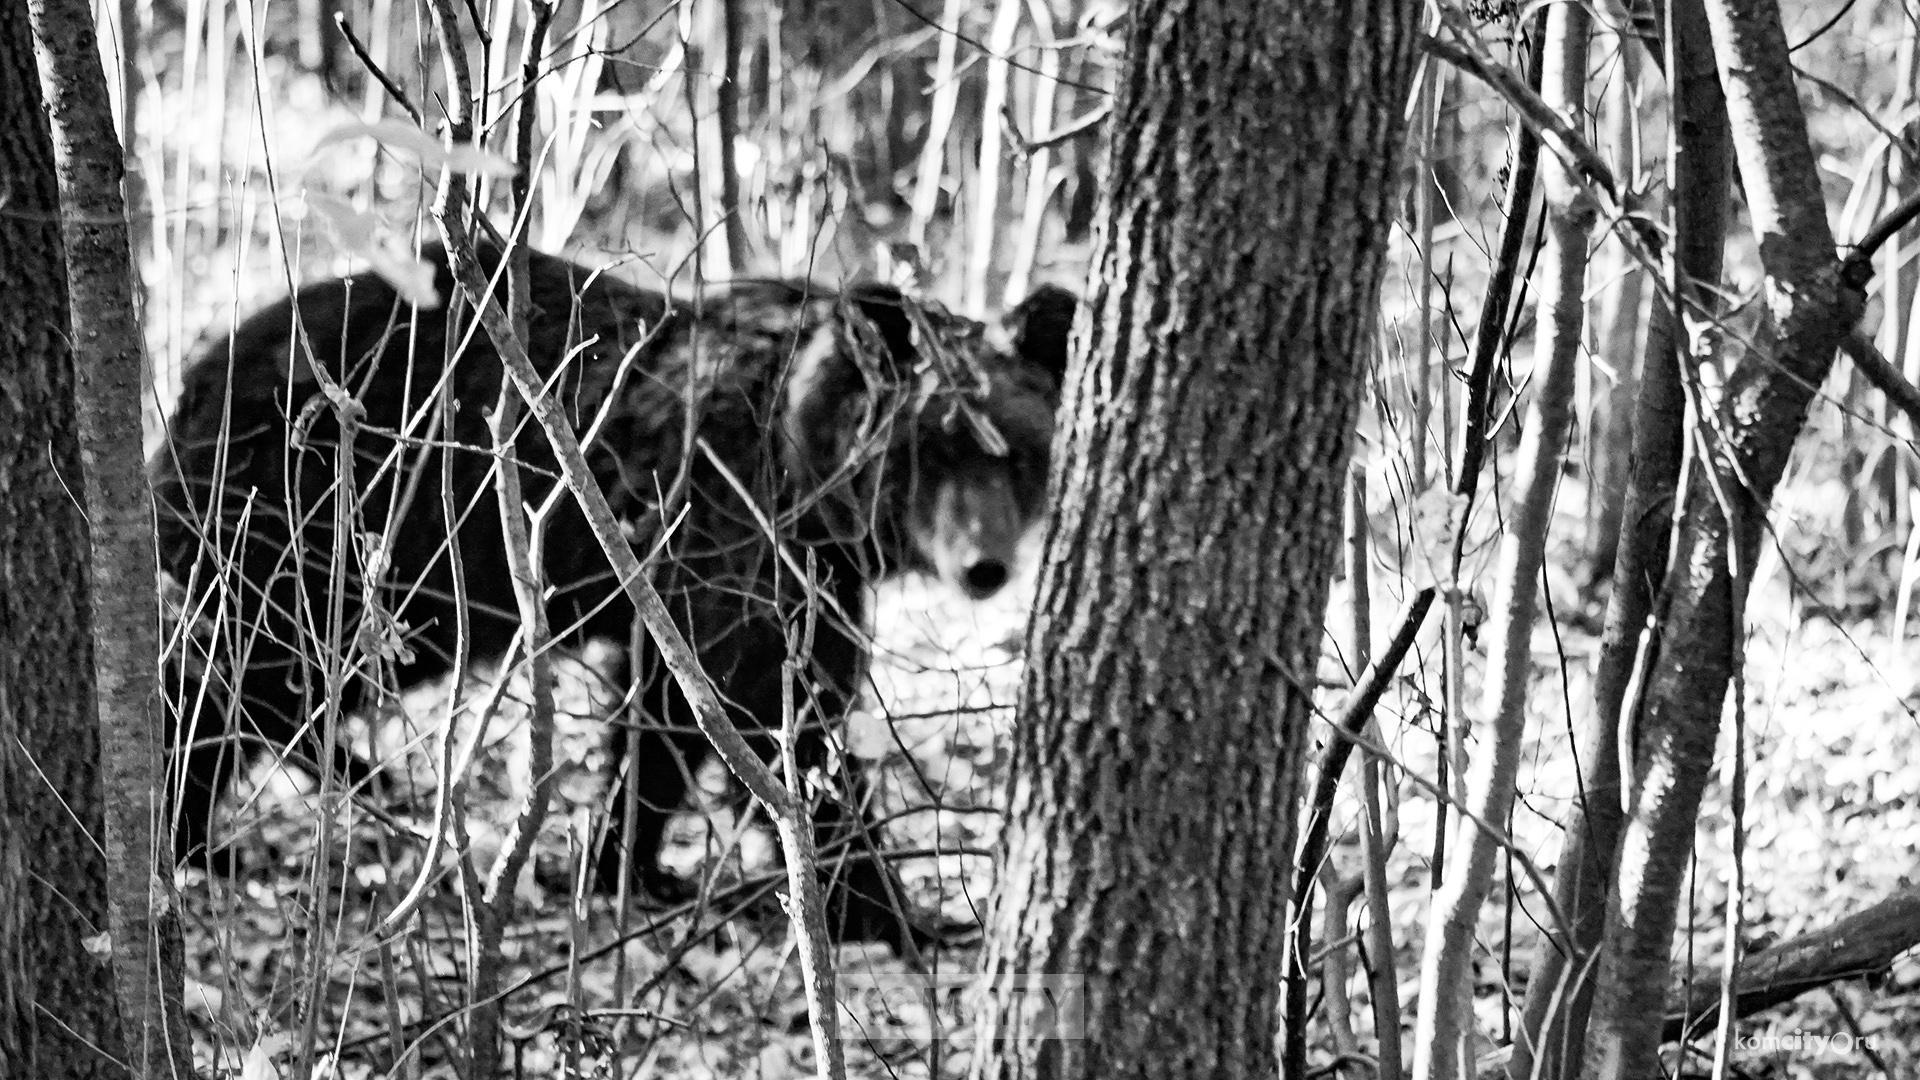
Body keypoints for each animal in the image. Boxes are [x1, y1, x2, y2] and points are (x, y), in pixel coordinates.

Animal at [149, 239, 1075, 945]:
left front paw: (624, 861)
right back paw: (190, 833)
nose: (984, 566)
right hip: (328, 525)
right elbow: (770, 708)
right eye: (934, 445)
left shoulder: (789, 571)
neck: (803, 476)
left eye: (1020, 452)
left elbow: (674, 712)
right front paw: (892, 910)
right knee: (241, 662)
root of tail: (196, 377)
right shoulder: (734, 525)